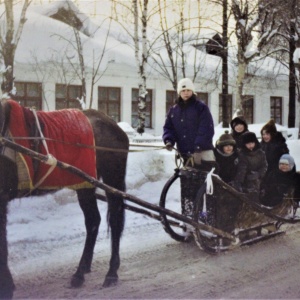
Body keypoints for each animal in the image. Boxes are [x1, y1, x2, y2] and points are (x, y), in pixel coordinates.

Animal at [0, 99, 127, 298]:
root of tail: (112, 124)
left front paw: (6, 285)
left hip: (112, 181)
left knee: (114, 221)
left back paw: (111, 273)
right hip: (85, 184)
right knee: (93, 221)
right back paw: (81, 272)